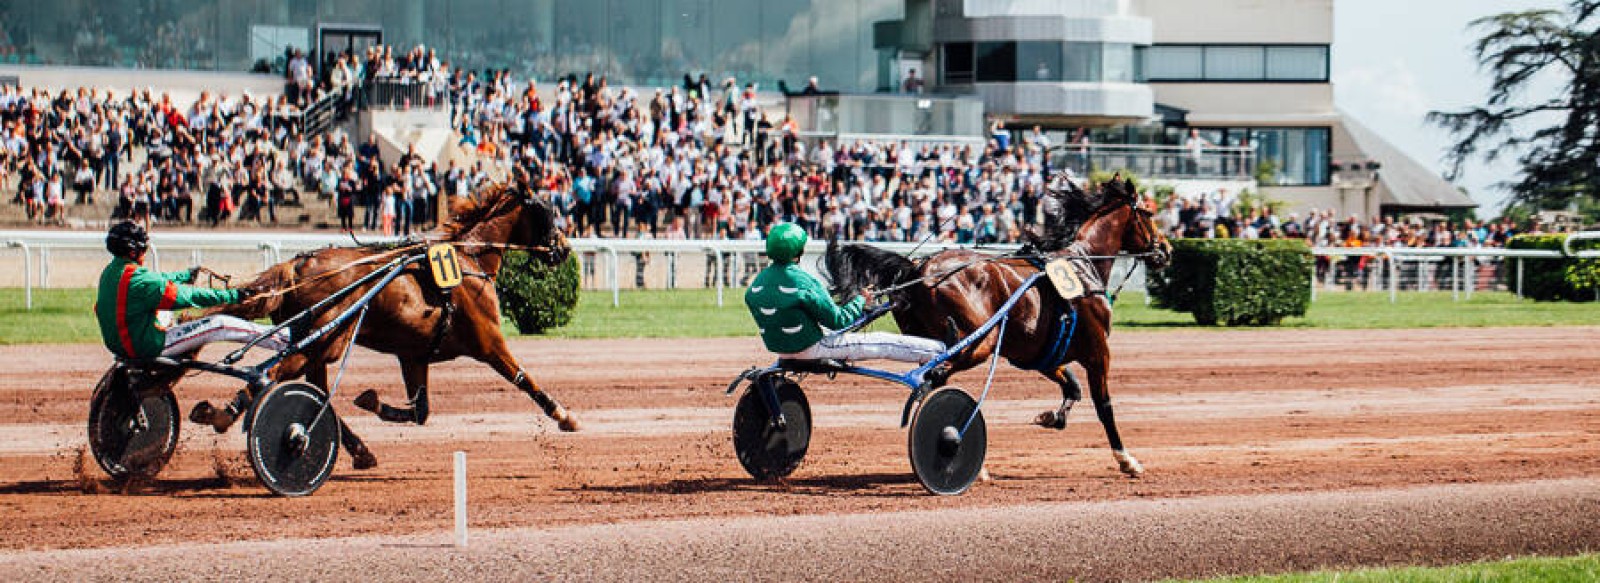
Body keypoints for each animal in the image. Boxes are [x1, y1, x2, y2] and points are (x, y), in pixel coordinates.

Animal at [192, 177, 579, 467]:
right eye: (548, 210)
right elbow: (525, 379)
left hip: (320, 346)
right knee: (272, 375)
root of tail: (296, 266)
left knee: (313, 390)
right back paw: (226, 414)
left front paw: (371, 401)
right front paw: (564, 416)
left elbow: (421, 411)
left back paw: (360, 450)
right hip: (324, 341)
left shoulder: (414, 355)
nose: (563, 248)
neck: (469, 259)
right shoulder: (489, 343)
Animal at [832, 175, 1171, 477]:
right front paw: (1127, 460)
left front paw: (1052, 417)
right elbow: (1104, 406)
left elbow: (1072, 387)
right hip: (981, 341)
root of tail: (920, 269)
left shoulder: (1040, 354)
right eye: (1149, 213)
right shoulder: (1098, 352)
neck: (1083, 265)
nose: (1166, 249)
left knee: (934, 376)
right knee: (936, 375)